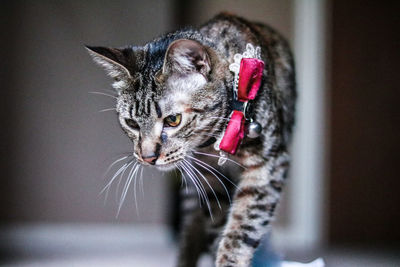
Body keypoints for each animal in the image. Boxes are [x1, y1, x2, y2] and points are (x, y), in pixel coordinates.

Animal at [86, 12, 296, 267]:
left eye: (173, 120)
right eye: (132, 123)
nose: (147, 157)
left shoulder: (268, 167)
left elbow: (242, 229)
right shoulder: (208, 182)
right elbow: (217, 228)